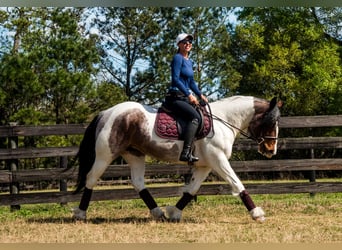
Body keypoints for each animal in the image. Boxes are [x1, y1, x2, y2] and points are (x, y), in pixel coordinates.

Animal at [71, 95, 280, 223]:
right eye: (271, 121)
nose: (271, 150)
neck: (223, 120)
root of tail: (105, 113)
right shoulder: (218, 159)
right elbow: (237, 184)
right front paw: (257, 214)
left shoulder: (205, 165)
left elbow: (191, 190)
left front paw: (174, 212)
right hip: (105, 154)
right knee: (91, 179)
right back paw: (80, 214)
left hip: (135, 154)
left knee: (138, 183)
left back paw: (158, 213)